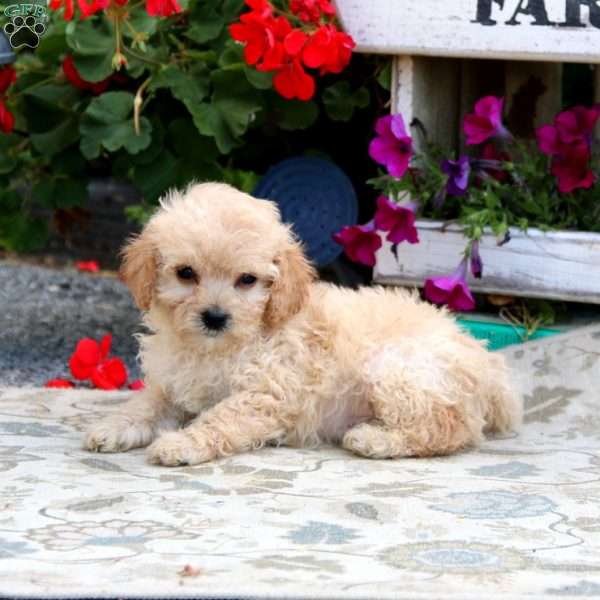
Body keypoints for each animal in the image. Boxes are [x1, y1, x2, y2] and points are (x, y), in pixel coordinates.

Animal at [83, 182, 520, 464]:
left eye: (247, 280)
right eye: (185, 273)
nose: (215, 317)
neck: (216, 348)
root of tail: (490, 366)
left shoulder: (265, 392)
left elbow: (221, 417)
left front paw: (182, 444)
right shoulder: (170, 386)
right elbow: (143, 405)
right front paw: (111, 428)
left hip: (399, 369)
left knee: (448, 429)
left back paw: (374, 439)